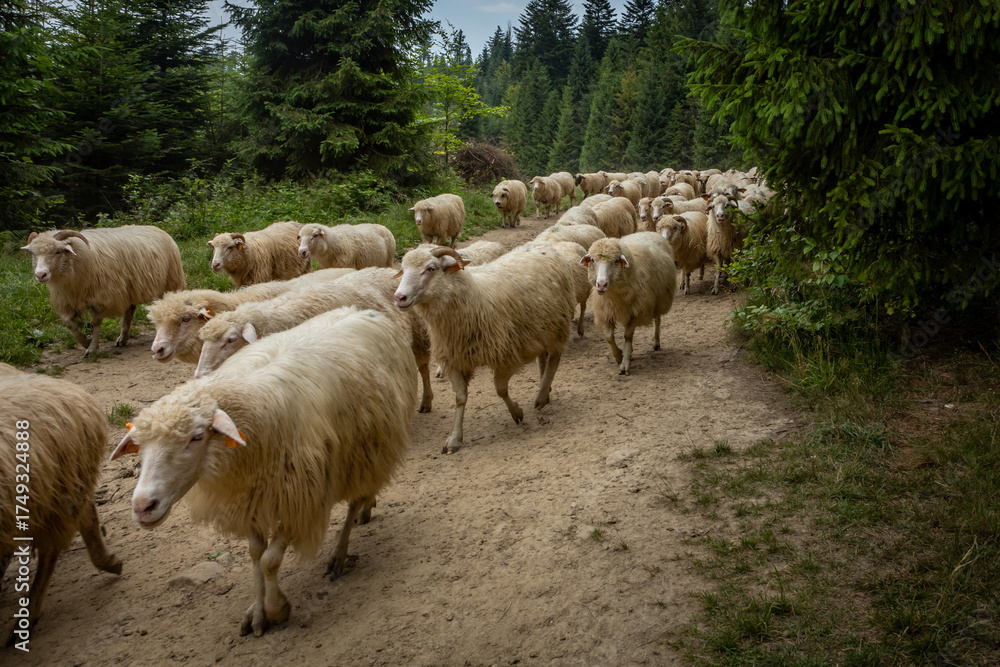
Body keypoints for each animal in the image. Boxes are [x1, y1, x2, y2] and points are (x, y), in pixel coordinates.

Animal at [22, 226, 185, 358]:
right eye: (33, 254)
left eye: (57, 251)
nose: (40, 275)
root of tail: (156, 228)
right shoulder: (67, 300)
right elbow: (69, 324)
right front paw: (85, 342)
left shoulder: (101, 297)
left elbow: (96, 322)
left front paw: (92, 348)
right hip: (130, 287)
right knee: (130, 310)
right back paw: (123, 338)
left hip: (170, 280)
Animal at [111, 307, 417, 638]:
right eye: (140, 446)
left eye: (197, 436)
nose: (143, 506)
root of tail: (362, 310)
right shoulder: (251, 497)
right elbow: (256, 555)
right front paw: (258, 613)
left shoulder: (301, 496)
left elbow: (270, 560)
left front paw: (277, 609)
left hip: (364, 451)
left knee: (352, 502)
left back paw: (340, 551)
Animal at [195, 268, 434, 413]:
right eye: (203, 341)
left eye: (230, 340)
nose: (199, 375)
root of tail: (386, 270)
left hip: (418, 335)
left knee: (423, 368)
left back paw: (425, 401)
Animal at [393, 245, 576, 454]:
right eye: (403, 269)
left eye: (430, 268)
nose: (399, 297)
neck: (470, 298)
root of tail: (545, 247)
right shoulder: (453, 359)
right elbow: (460, 398)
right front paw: (454, 438)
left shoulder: (505, 355)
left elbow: (500, 390)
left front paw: (517, 412)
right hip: (541, 329)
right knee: (543, 358)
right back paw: (545, 387)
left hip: (559, 325)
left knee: (554, 357)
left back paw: (542, 395)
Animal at [582, 233, 677, 375]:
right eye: (592, 260)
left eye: (616, 261)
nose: (601, 285)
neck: (615, 295)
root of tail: (650, 232)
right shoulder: (606, 313)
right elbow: (609, 337)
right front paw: (619, 356)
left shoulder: (637, 312)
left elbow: (627, 336)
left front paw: (624, 363)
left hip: (658, 300)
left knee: (657, 320)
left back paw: (656, 342)